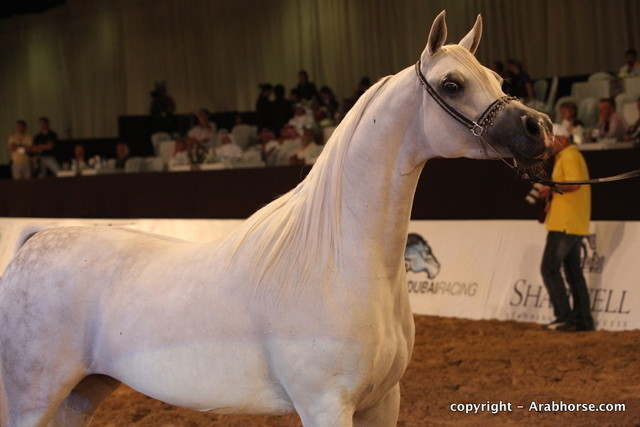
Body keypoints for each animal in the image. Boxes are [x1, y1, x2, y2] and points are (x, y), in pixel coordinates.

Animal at [0, 11, 552, 427]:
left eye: (500, 80)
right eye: (452, 84)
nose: (540, 128)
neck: (341, 264)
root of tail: (34, 240)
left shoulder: (382, 403)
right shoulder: (325, 407)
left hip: (83, 392)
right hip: (34, 397)